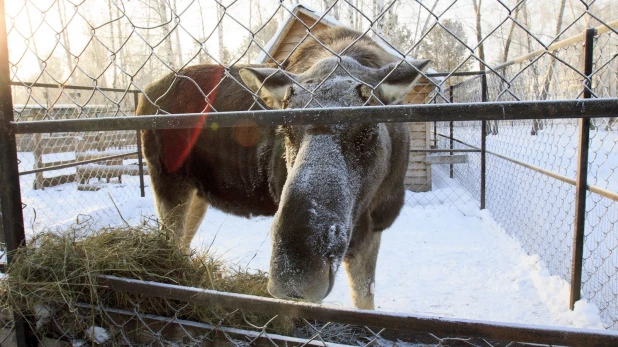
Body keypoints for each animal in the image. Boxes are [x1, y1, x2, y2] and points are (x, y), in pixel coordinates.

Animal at [138, 27, 428, 310]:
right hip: (166, 179)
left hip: (197, 192)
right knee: (171, 239)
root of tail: (143, 96)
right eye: (285, 129)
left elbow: (365, 301)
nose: (296, 272)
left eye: (369, 128)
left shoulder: (376, 226)